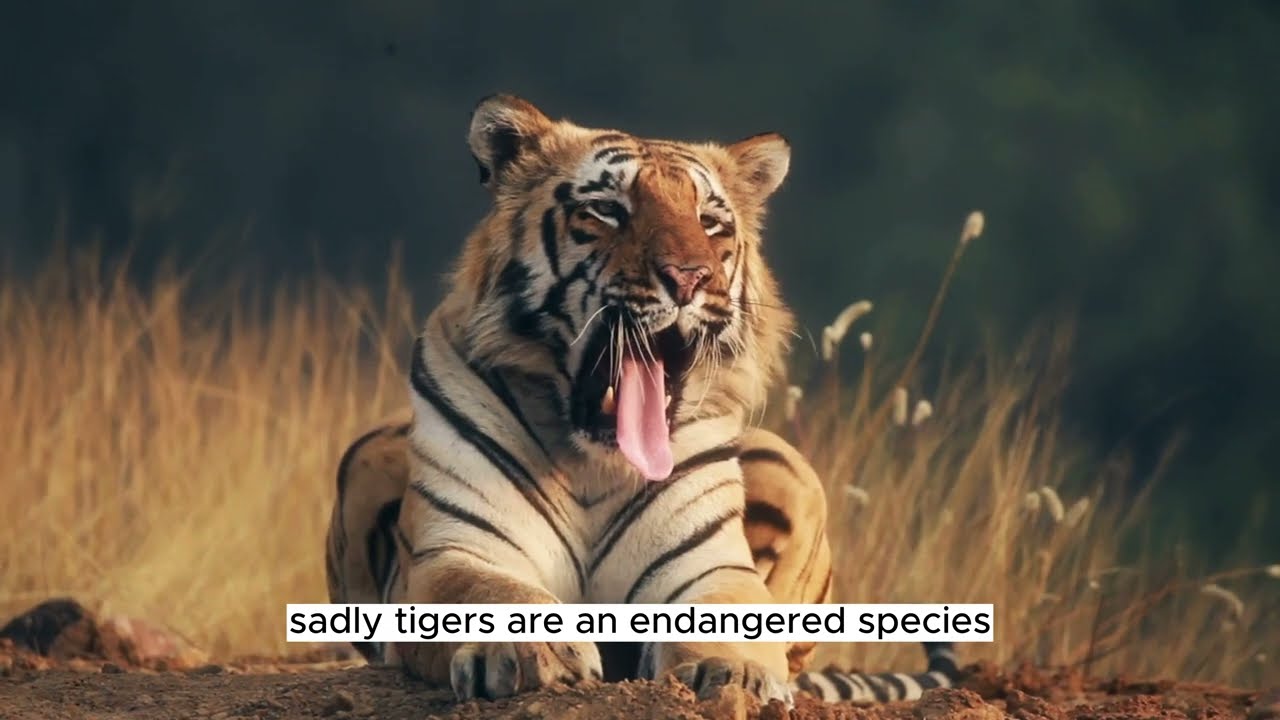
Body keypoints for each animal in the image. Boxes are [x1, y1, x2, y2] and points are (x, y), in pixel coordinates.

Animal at [324, 94, 962, 706]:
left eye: (710, 222)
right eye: (609, 210)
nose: (689, 278)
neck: (592, 462)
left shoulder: (707, 565)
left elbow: (728, 618)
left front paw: (736, 675)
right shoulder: (458, 550)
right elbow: (494, 594)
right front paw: (537, 654)